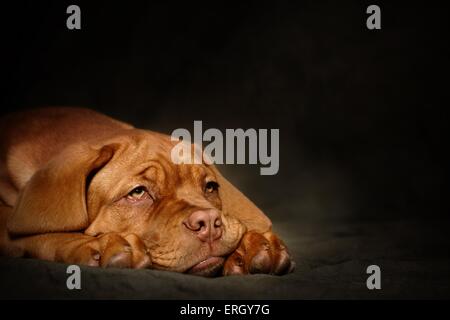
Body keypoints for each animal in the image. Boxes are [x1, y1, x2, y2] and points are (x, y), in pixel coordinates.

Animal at [0, 108, 296, 278]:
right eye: (138, 193)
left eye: (210, 187)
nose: (209, 223)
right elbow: (30, 231)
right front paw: (95, 245)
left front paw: (255, 246)